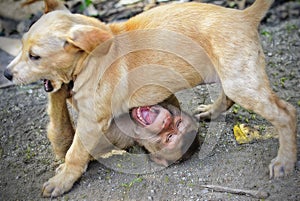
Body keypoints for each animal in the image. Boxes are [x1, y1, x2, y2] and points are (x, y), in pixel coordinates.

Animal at [3, 0, 296, 198]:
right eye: (21, 47)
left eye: (35, 56)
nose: (6, 74)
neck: (90, 59)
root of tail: (243, 16)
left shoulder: (92, 122)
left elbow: (74, 152)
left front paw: (62, 181)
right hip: (232, 76)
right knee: (229, 97)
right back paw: (212, 111)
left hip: (241, 82)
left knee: (287, 113)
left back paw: (284, 162)